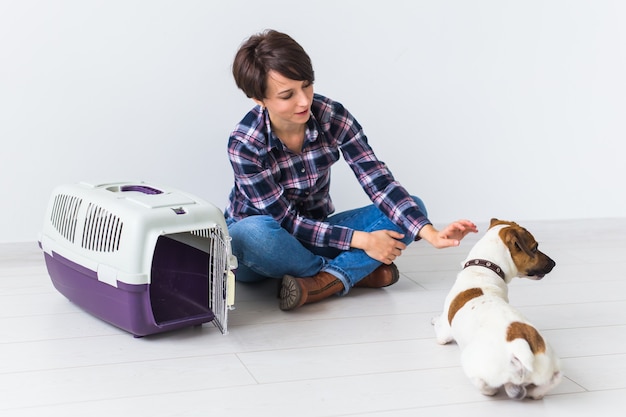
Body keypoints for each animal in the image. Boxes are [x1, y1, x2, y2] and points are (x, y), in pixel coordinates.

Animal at [428, 216, 560, 398]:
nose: (554, 263)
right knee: (544, 387)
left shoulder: (443, 334)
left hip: (472, 360)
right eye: (535, 247)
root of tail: (520, 347)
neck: (483, 269)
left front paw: (435, 318)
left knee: (486, 386)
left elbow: (440, 327)